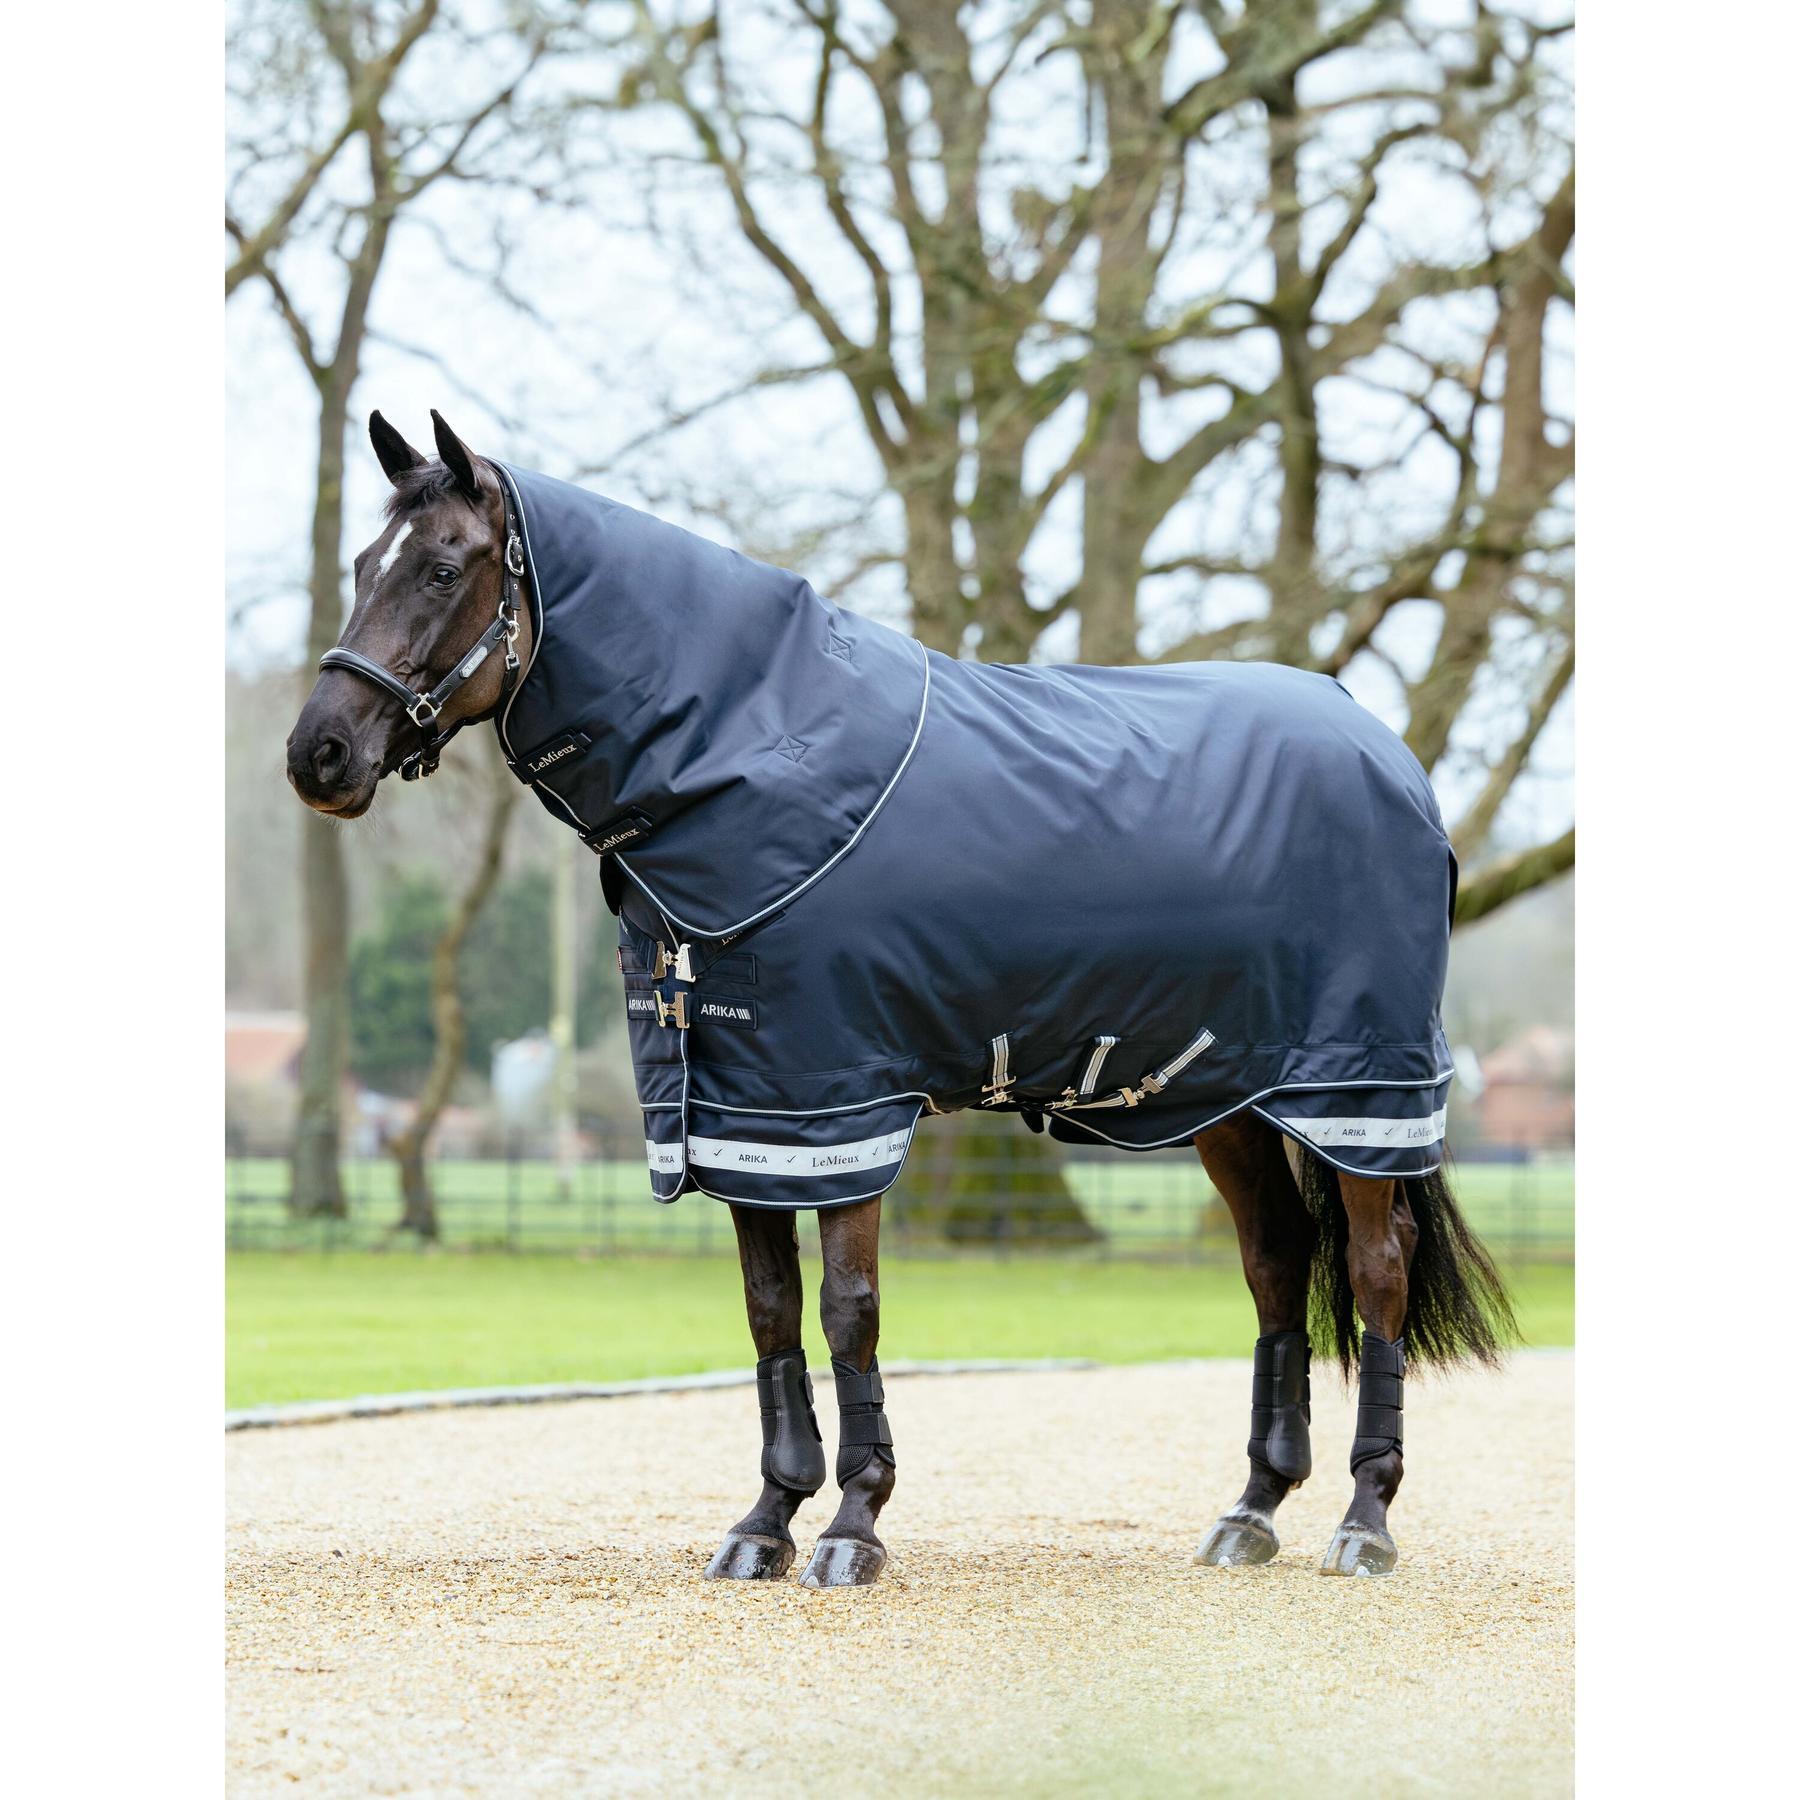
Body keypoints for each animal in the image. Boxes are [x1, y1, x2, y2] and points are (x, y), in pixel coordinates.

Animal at [286, 408, 1516, 1587]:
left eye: (443, 567)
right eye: (360, 562)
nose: (319, 754)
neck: (754, 750)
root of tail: (1386, 750)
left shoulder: (838, 1106)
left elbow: (848, 1309)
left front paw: (853, 1527)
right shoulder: (748, 1112)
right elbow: (771, 1312)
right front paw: (765, 1524)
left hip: (1360, 1088)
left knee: (1375, 1269)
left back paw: (1364, 1522)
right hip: (1231, 1101)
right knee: (1275, 1267)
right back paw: (1252, 1511)